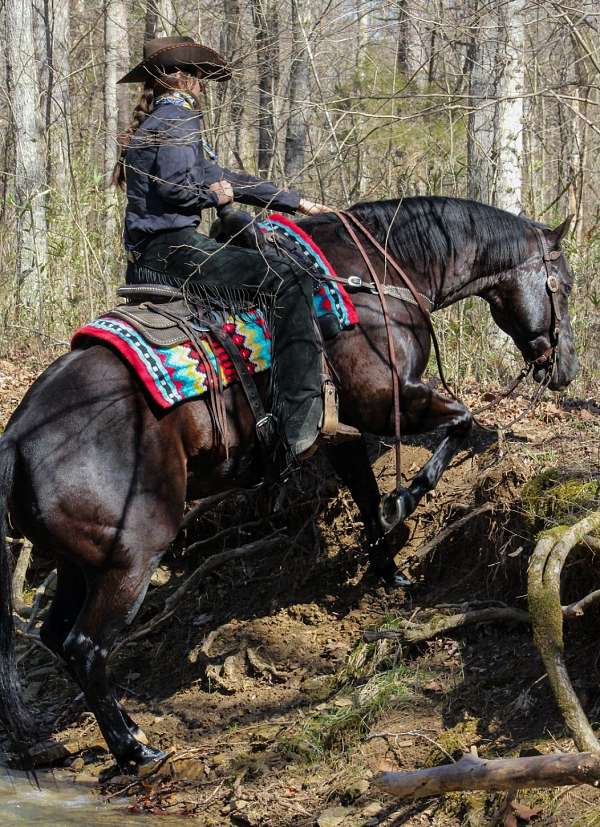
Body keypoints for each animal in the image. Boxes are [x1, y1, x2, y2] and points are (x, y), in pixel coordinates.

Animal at [0, 196, 578, 771]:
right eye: (566, 286)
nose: (567, 369)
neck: (376, 274)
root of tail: (17, 436)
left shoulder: (344, 428)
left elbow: (365, 493)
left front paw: (389, 568)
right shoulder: (384, 399)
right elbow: (461, 423)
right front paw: (402, 505)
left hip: (80, 563)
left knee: (57, 637)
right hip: (131, 558)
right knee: (85, 647)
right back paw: (135, 750)